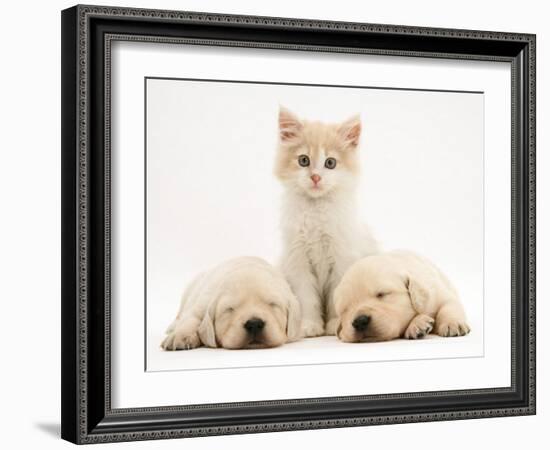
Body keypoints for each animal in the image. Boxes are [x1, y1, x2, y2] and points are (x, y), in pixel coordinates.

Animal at [162, 256, 304, 352]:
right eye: (229, 309)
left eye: (273, 304)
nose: (254, 324)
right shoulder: (202, 303)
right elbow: (191, 319)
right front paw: (180, 337)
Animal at [274, 107, 380, 336]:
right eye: (303, 160)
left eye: (330, 163)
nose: (315, 177)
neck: (316, 209)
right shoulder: (298, 261)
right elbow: (307, 298)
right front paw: (309, 326)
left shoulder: (341, 258)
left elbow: (336, 295)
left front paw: (334, 325)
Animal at [334, 251, 472, 342]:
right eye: (345, 309)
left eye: (381, 294)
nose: (360, 321)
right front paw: (418, 324)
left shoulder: (436, 293)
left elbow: (448, 306)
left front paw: (452, 324)